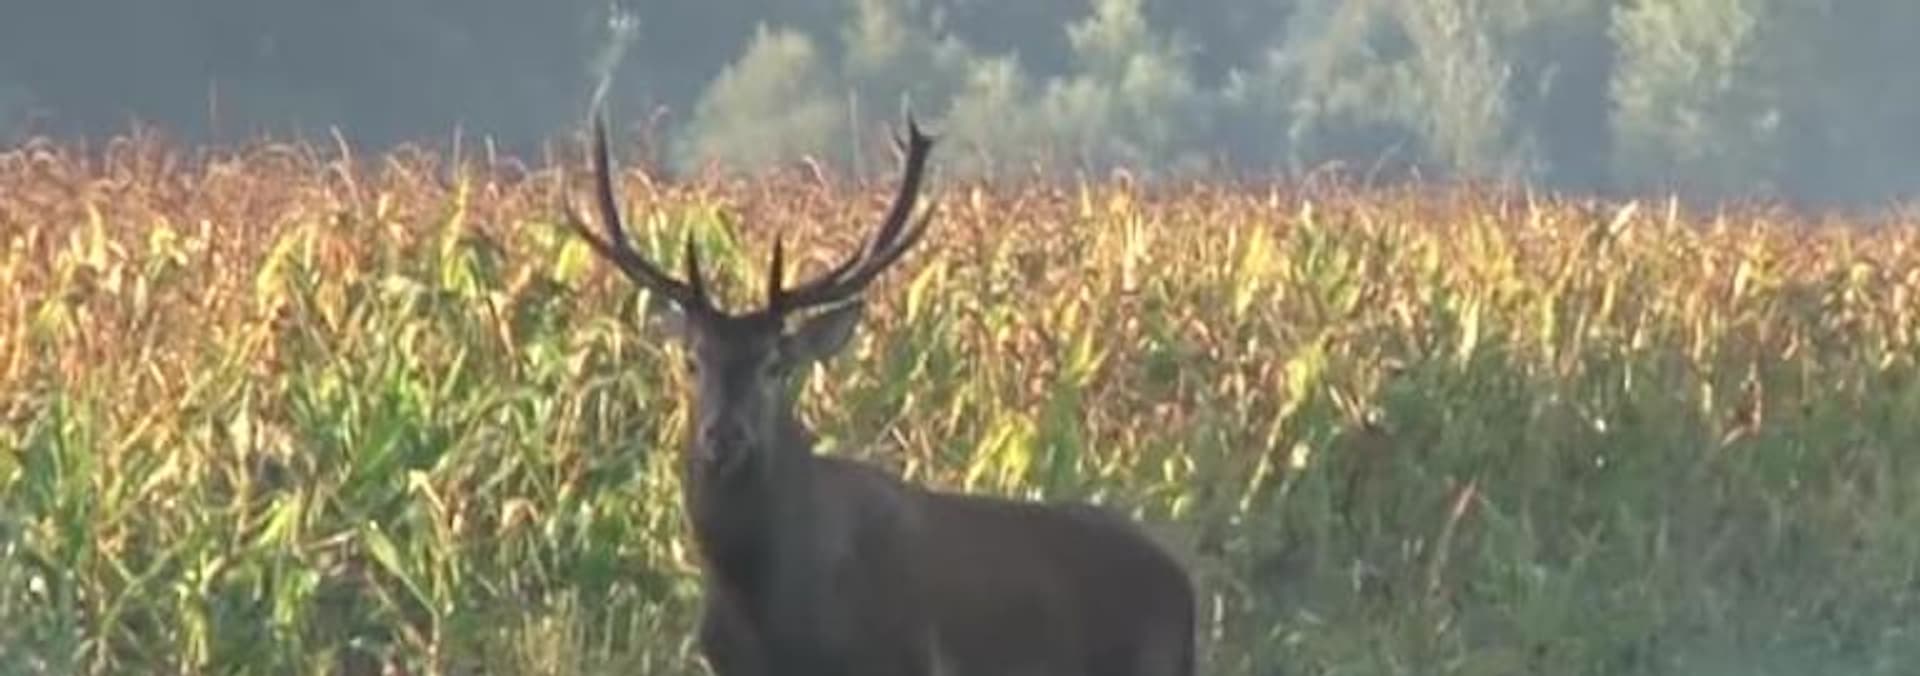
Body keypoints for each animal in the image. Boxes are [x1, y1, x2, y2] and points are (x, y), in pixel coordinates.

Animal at [562, 107, 1197, 676]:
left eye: (776, 364)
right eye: (693, 360)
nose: (724, 435)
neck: (768, 608)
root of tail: (1183, 584)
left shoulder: (905, 658)